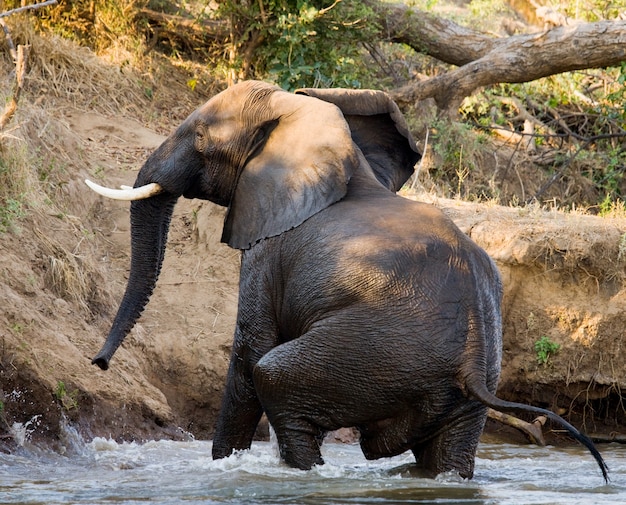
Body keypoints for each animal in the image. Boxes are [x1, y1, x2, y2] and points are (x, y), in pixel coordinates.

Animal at [85, 79, 608, 480]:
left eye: (198, 135)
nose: (98, 363)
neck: (299, 113)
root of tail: (473, 362)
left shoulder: (268, 250)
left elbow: (249, 350)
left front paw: (223, 464)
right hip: (462, 386)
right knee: (447, 452)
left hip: (375, 349)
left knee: (275, 377)